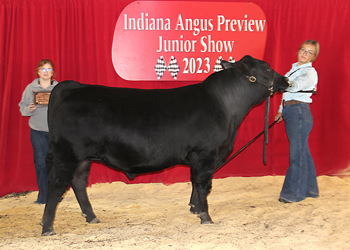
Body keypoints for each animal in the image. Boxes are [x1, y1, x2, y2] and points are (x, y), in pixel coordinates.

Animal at [41, 55, 288, 235]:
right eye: (266, 68)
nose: (286, 80)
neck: (226, 109)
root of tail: (73, 86)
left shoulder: (199, 159)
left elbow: (194, 183)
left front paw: (195, 209)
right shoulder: (205, 155)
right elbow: (203, 184)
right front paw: (206, 217)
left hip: (83, 158)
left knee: (78, 182)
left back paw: (92, 217)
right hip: (67, 153)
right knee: (56, 183)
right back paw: (48, 227)